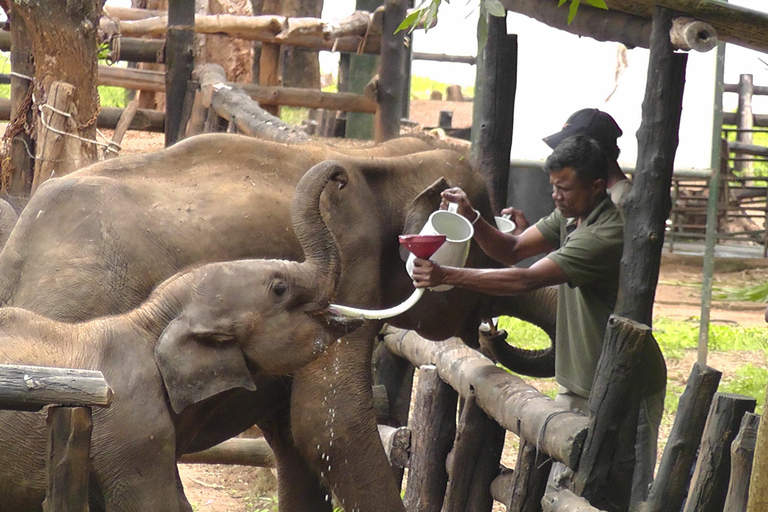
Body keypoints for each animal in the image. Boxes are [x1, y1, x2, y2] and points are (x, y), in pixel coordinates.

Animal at [0, 133, 556, 512]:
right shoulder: (354, 258)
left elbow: (291, 436)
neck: (386, 158)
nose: (496, 331)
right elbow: (329, 426)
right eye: (484, 241)